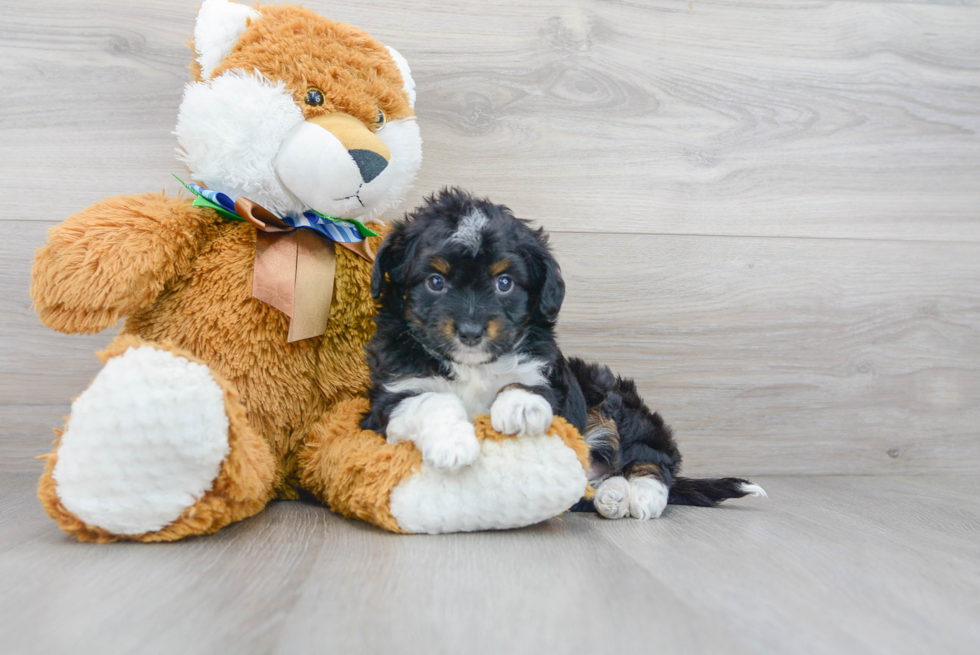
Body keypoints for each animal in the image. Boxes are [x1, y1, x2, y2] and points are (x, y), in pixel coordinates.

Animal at [360, 190, 764, 524]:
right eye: (435, 282)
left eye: (504, 283)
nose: (471, 332)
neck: (471, 365)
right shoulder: (389, 397)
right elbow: (431, 400)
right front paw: (453, 444)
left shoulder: (547, 375)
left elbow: (522, 383)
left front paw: (519, 407)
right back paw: (612, 495)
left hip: (616, 398)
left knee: (652, 458)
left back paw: (642, 496)